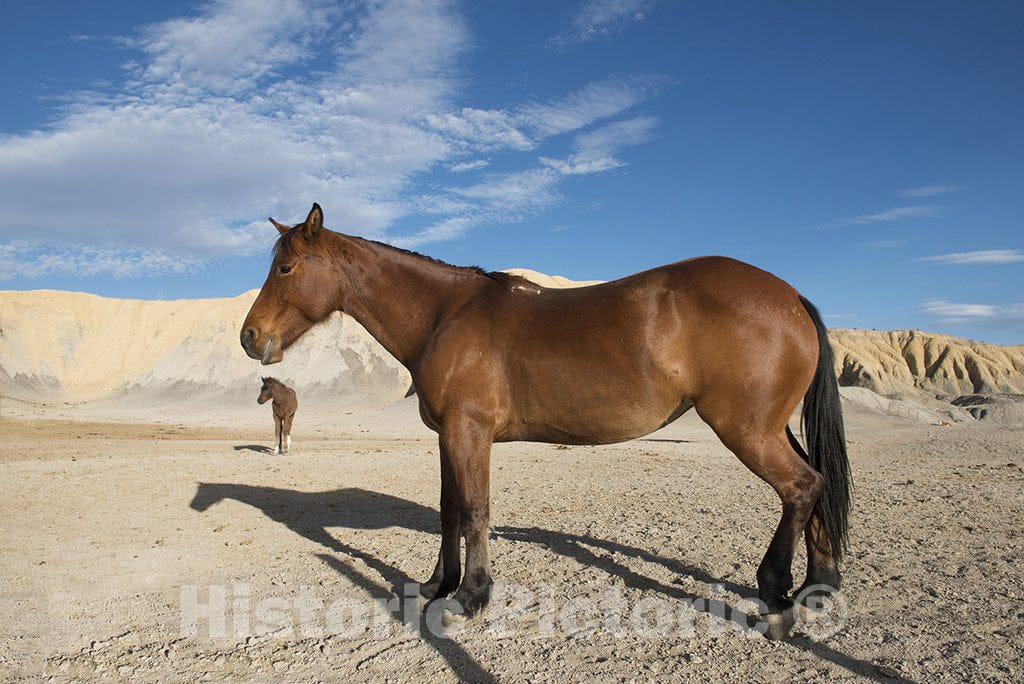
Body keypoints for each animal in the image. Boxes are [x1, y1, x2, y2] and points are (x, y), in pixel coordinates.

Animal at [237, 202, 847, 618]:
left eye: (286, 269)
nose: (249, 336)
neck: (444, 314)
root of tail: (790, 296)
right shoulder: (447, 435)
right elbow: (449, 509)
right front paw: (438, 585)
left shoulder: (470, 432)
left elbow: (475, 510)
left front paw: (471, 597)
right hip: (770, 428)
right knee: (816, 483)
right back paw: (817, 587)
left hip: (745, 429)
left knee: (799, 487)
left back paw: (775, 589)